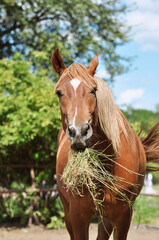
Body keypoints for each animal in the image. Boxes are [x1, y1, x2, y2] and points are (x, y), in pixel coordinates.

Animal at [51, 48, 159, 240]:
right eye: (59, 92)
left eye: (94, 90)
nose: (79, 132)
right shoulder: (78, 215)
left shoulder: (124, 215)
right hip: (68, 211)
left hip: (107, 217)